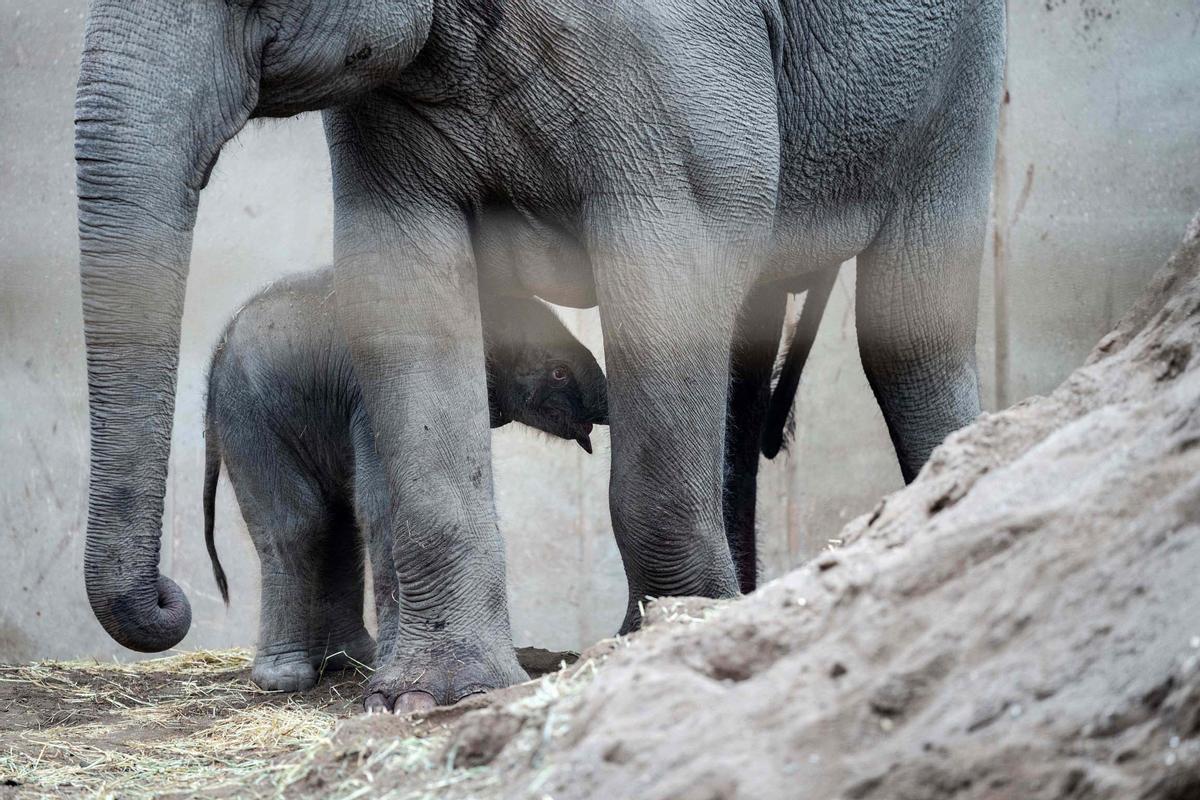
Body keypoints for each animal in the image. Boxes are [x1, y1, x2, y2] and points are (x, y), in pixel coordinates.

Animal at [202, 266, 609, 690]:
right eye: (559, 373)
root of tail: (216, 359)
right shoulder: (374, 401)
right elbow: (382, 503)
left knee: (336, 520)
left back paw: (349, 659)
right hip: (250, 417)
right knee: (297, 524)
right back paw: (286, 678)